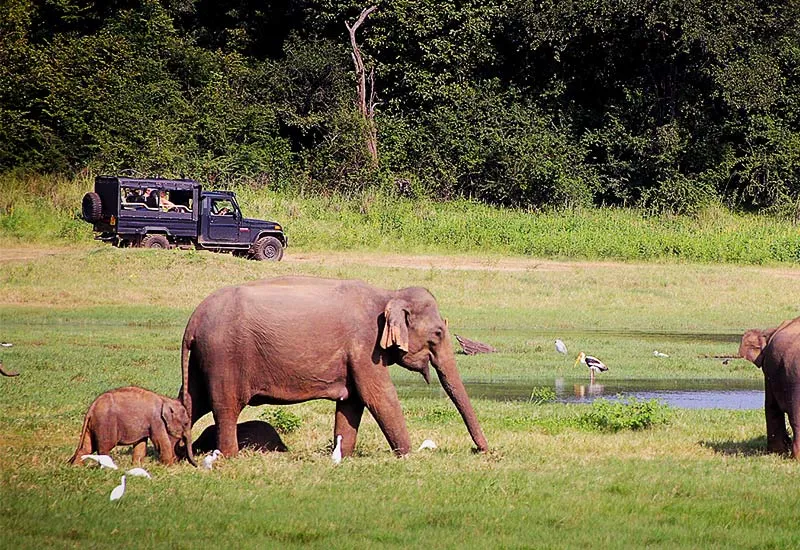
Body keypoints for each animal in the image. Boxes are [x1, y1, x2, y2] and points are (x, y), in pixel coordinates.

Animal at [70, 386, 198, 468]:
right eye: (186, 423)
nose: (196, 465)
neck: (165, 399)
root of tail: (92, 408)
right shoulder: (156, 421)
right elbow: (161, 442)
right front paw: (169, 467)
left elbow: (140, 444)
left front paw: (138, 466)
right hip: (105, 424)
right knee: (104, 448)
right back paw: (109, 468)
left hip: (92, 426)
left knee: (87, 448)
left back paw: (77, 468)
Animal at [180, 278, 488, 460]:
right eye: (438, 333)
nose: (481, 450)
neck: (389, 294)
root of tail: (193, 320)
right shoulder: (365, 346)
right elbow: (378, 397)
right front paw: (408, 456)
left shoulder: (356, 356)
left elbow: (352, 402)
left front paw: (343, 456)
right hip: (225, 356)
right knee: (226, 406)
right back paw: (230, 457)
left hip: (203, 359)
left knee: (191, 402)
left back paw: (178, 455)